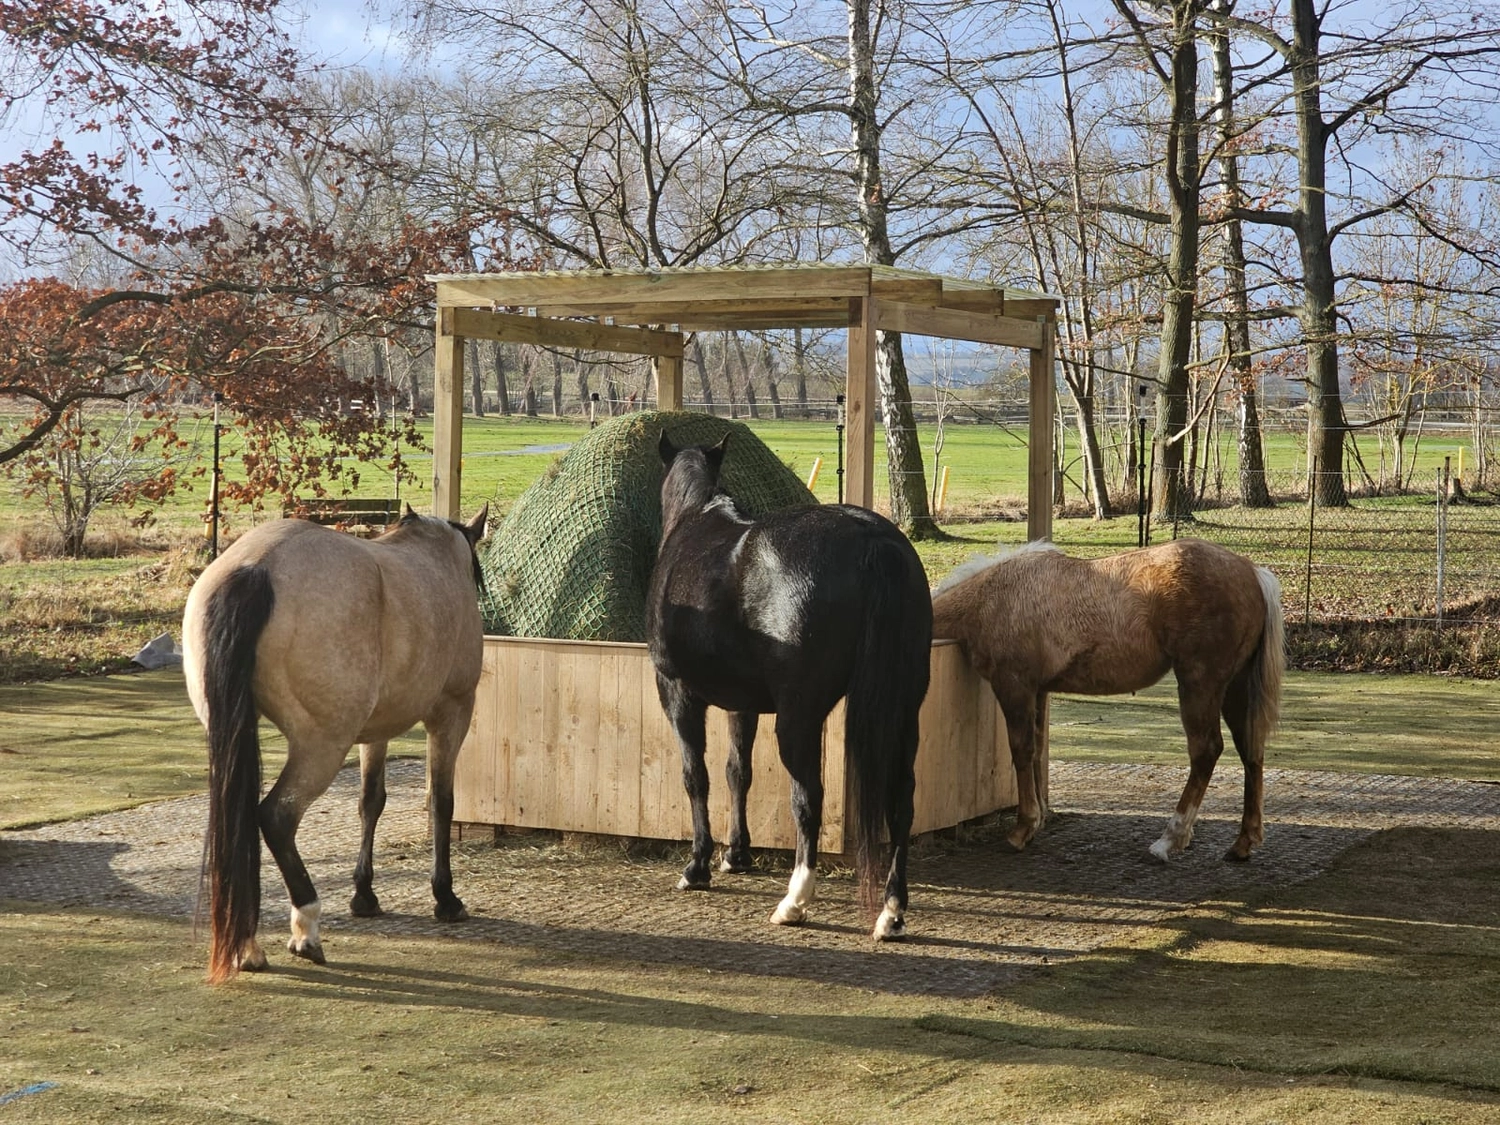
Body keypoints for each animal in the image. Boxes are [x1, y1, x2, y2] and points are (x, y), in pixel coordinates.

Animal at [181, 504, 489, 983]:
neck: (435, 557)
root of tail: (254, 568)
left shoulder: (375, 732)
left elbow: (371, 802)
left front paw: (364, 894)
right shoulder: (451, 714)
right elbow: (440, 802)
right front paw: (446, 897)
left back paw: (247, 946)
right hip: (322, 746)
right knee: (276, 817)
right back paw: (305, 929)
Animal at [646, 432, 933, 940]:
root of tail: (873, 540)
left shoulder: (677, 693)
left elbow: (695, 775)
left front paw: (697, 866)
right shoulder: (742, 704)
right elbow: (737, 771)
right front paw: (736, 854)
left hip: (799, 717)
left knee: (808, 798)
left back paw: (795, 901)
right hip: (904, 709)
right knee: (901, 800)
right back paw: (891, 911)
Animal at [931, 538, 1284, 863]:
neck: (992, 598)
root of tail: (1254, 573)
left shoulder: (1014, 687)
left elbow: (1021, 751)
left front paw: (1023, 829)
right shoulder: (1038, 691)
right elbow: (1037, 752)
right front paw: (1037, 820)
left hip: (1199, 685)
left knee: (1206, 751)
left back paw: (1169, 840)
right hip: (1235, 687)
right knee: (1251, 750)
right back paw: (1242, 843)